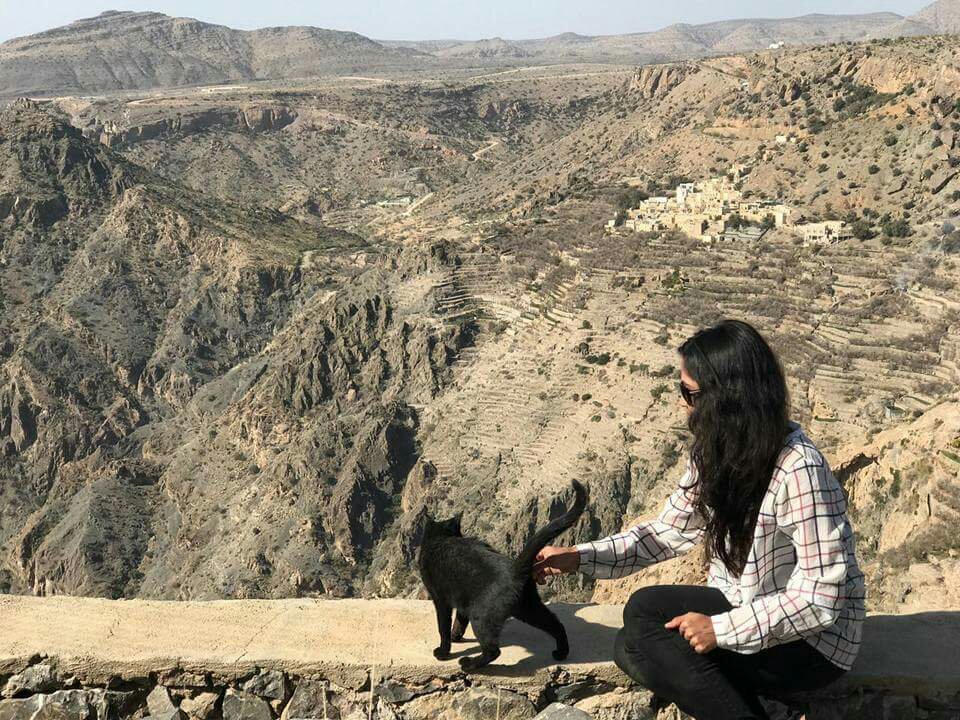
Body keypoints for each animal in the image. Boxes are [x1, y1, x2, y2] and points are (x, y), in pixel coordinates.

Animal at [417, 479, 587, 671]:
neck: (441, 539)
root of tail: (516, 568)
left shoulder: (440, 599)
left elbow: (443, 627)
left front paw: (443, 652)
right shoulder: (462, 598)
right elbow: (460, 621)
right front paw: (457, 636)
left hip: (481, 616)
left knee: (493, 650)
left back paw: (469, 663)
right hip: (528, 608)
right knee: (555, 624)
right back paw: (561, 652)